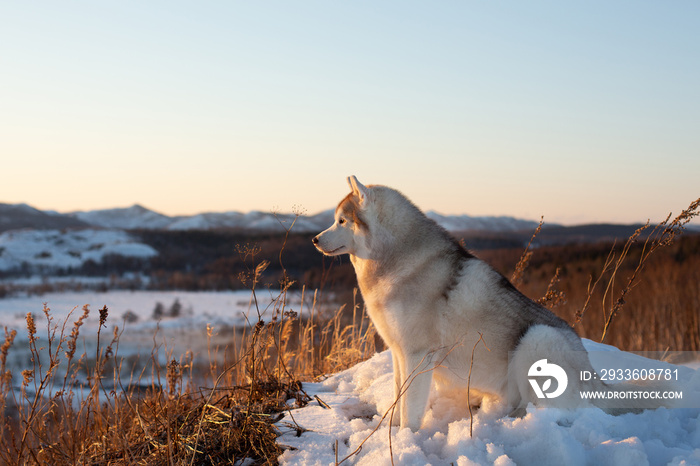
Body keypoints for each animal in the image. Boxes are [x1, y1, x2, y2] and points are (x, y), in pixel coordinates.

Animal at [314, 177, 648, 430]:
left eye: (341, 221)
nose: (315, 240)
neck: (393, 260)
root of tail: (594, 377)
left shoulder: (419, 355)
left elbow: (411, 409)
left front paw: (407, 439)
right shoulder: (398, 353)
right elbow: (398, 401)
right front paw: (391, 432)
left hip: (537, 339)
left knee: (547, 410)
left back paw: (510, 422)